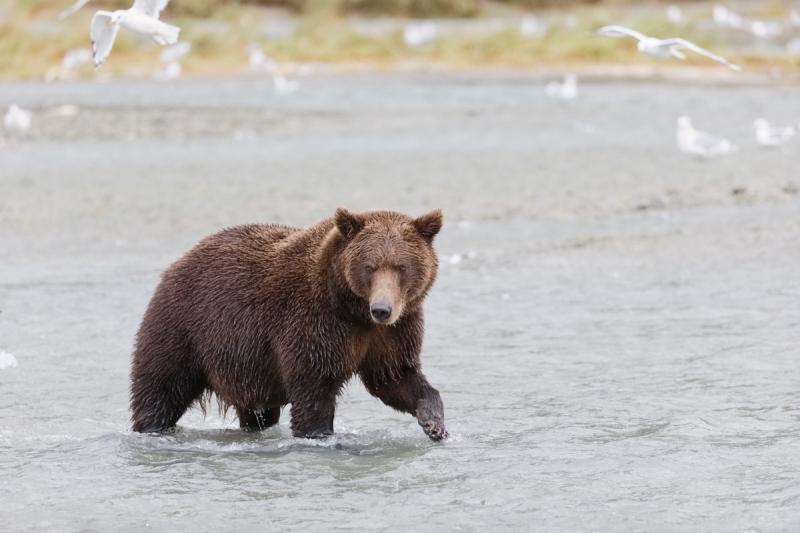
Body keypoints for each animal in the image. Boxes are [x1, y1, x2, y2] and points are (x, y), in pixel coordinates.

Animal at [128, 208, 446, 440]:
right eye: (370, 267)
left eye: (401, 267)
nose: (381, 309)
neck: (352, 310)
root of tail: (179, 261)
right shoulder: (314, 322)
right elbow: (314, 387)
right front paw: (319, 435)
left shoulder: (392, 332)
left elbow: (394, 376)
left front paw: (434, 423)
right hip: (184, 327)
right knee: (161, 387)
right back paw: (151, 428)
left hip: (248, 367)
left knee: (257, 411)